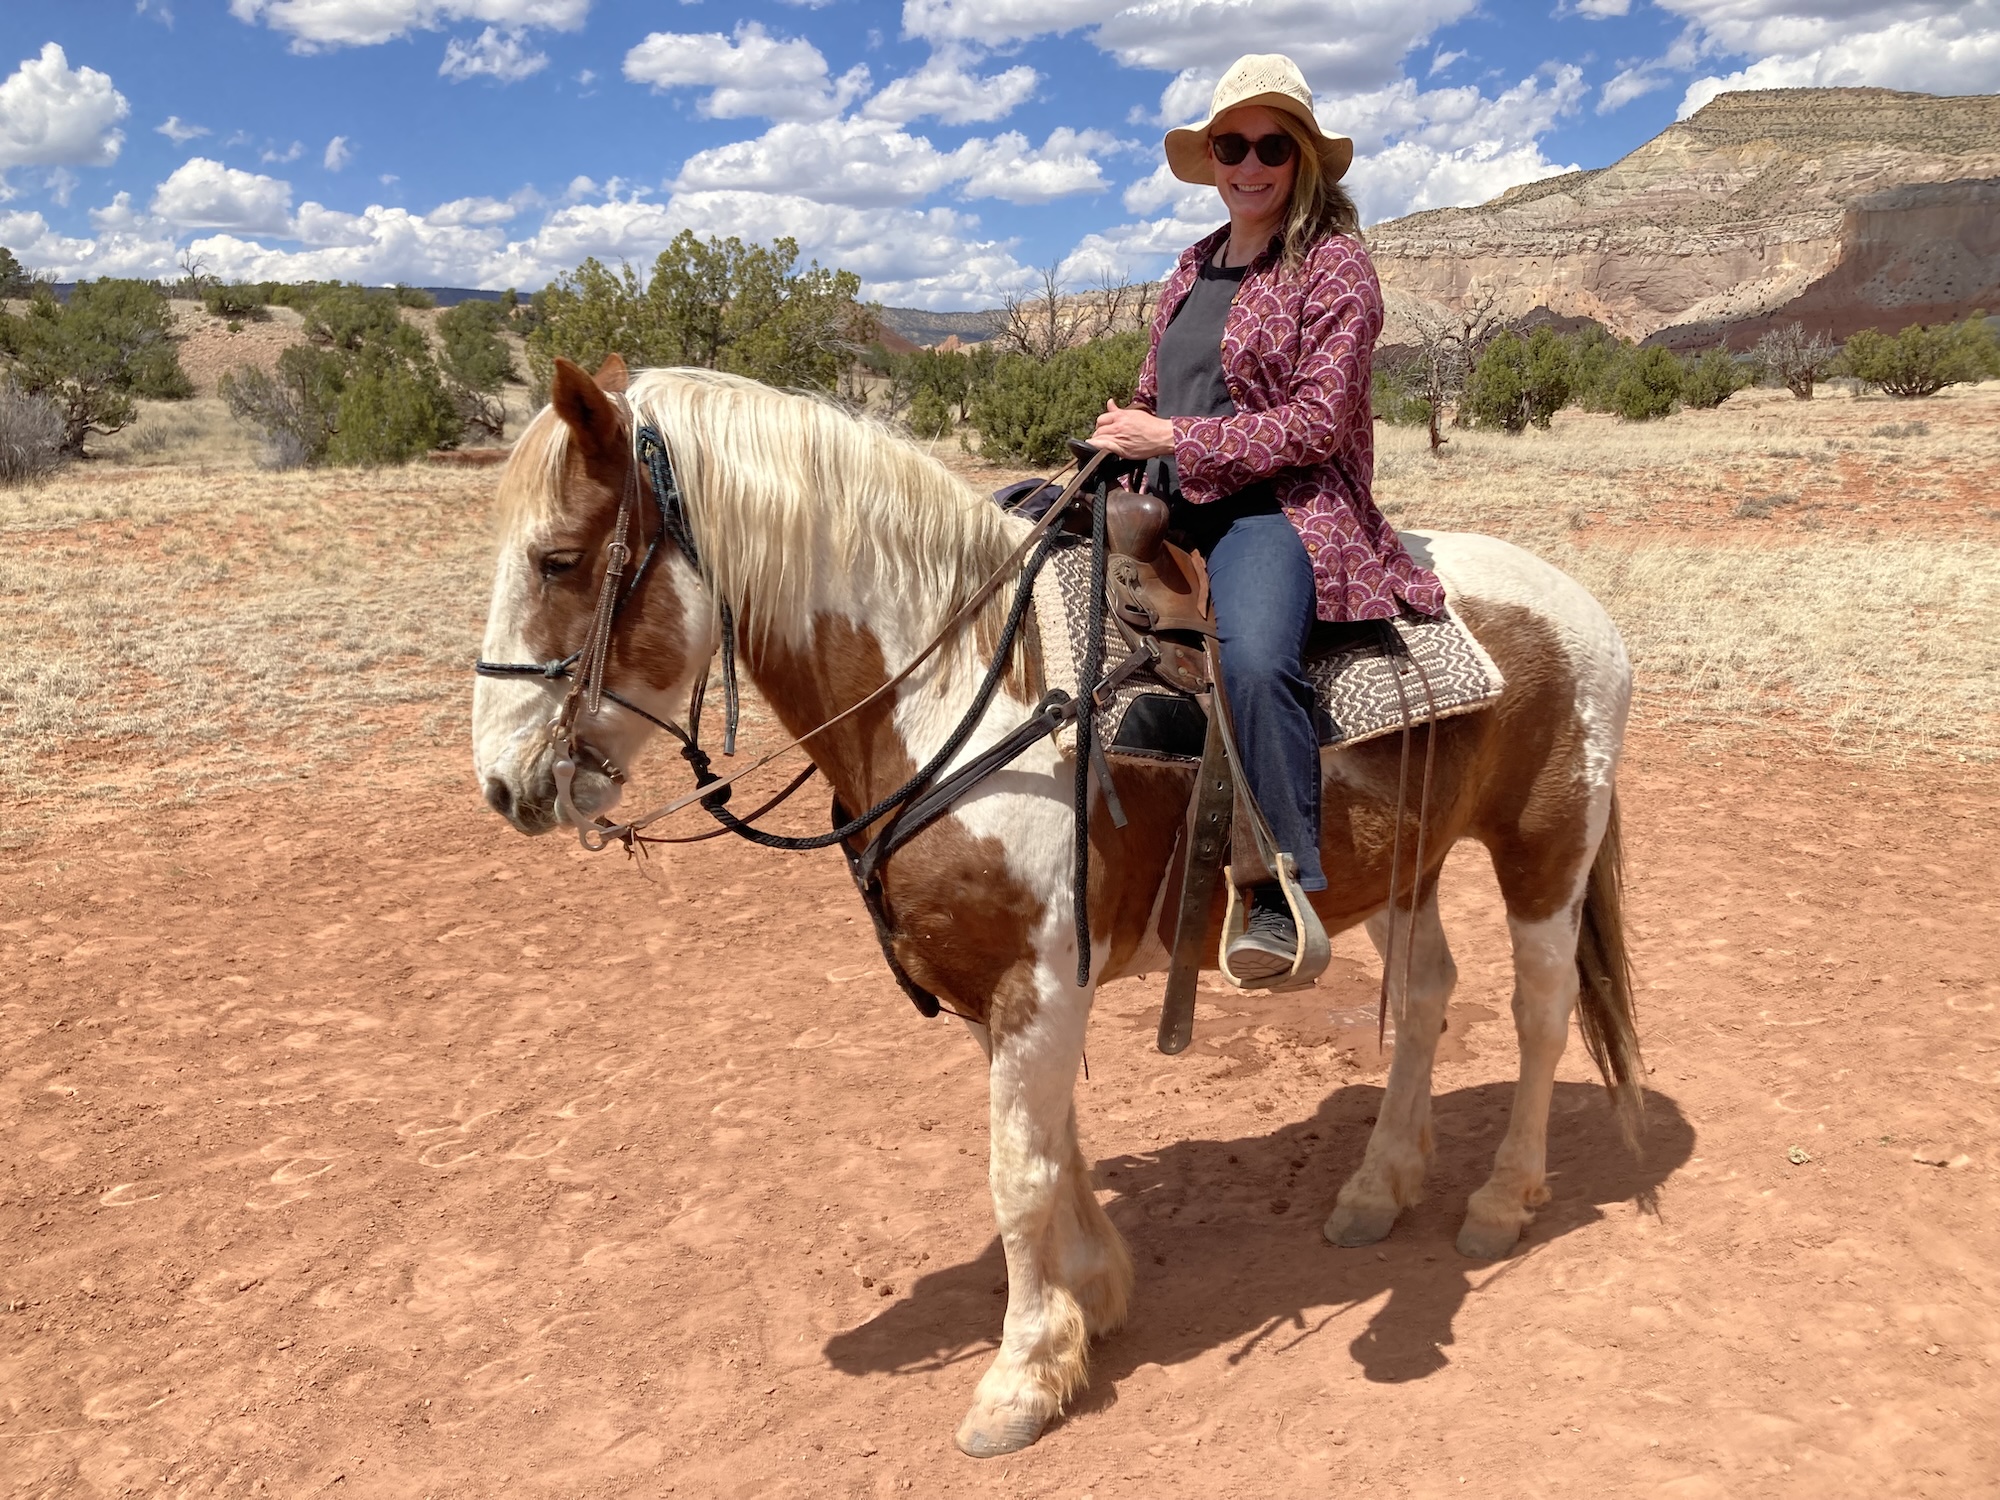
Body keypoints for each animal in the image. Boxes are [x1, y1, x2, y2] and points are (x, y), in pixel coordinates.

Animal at [471, 355, 1641, 1459]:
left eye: (558, 560)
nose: (505, 784)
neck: (959, 693)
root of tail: (1576, 601)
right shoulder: (1011, 991)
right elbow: (1057, 1148)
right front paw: (1095, 1301)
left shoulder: (1034, 985)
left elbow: (1017, 1174)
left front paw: (1021, 1377)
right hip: (1408, 863)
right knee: (1432, 995)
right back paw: (1378, 1187)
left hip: (1544, 850)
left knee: (1540, 1013)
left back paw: (1499, 1202)